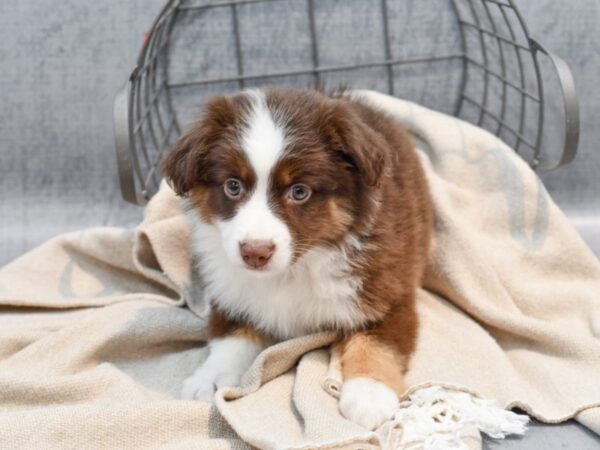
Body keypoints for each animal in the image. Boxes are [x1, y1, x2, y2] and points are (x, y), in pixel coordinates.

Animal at [162, 87, 434, 428]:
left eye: (299, 191)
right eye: (232, 186)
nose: (255, 252)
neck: (294, 269)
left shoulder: (387, 290)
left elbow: (378, 342)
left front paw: (369, 394)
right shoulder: (230, 291)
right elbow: (231, 335)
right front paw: (210, 378)